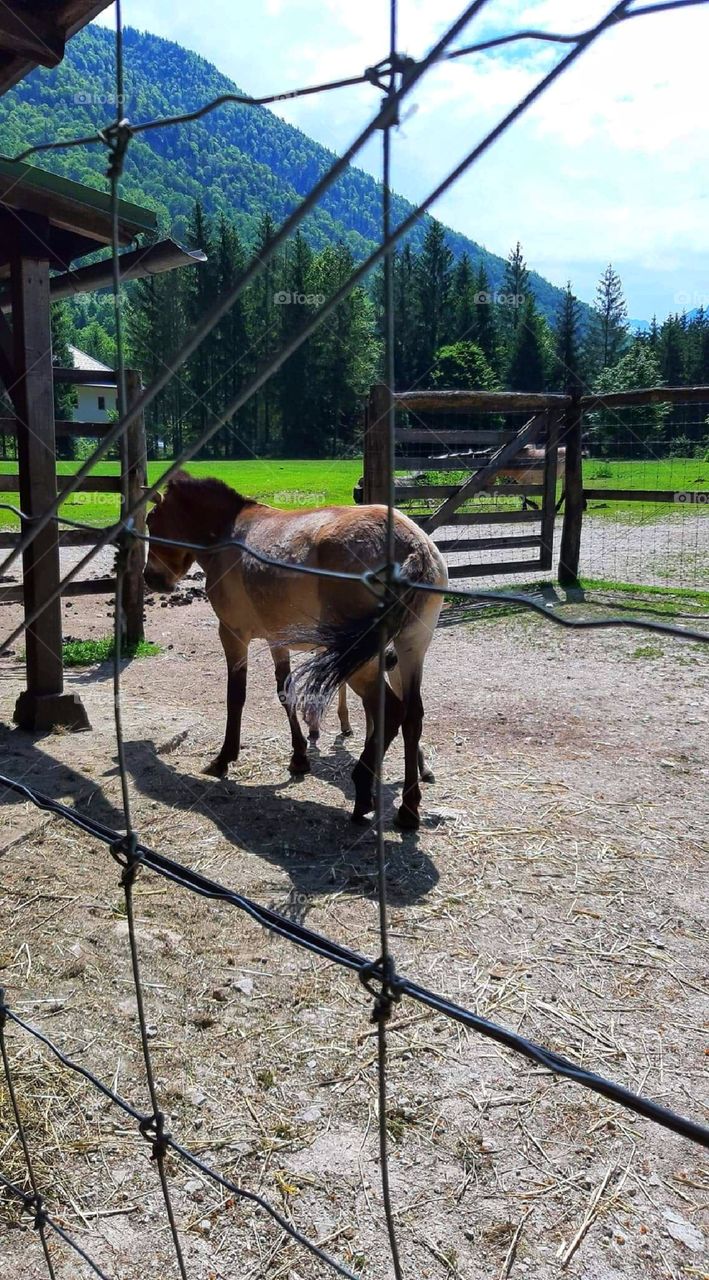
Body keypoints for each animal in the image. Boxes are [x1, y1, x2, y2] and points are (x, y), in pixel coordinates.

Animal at [143, 471, 447, 829]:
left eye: (151, 520)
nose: (151, 579)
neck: (229, 530)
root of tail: (412, 545)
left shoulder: (232, 634)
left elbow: (236, 696)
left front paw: (224, 758)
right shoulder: (277, 641)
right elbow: (284, 691)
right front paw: (299, 756)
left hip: (364, 661)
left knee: (390, 711)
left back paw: (363, 792)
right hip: (410, 647)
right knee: (412, 716)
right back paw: (408, 809)